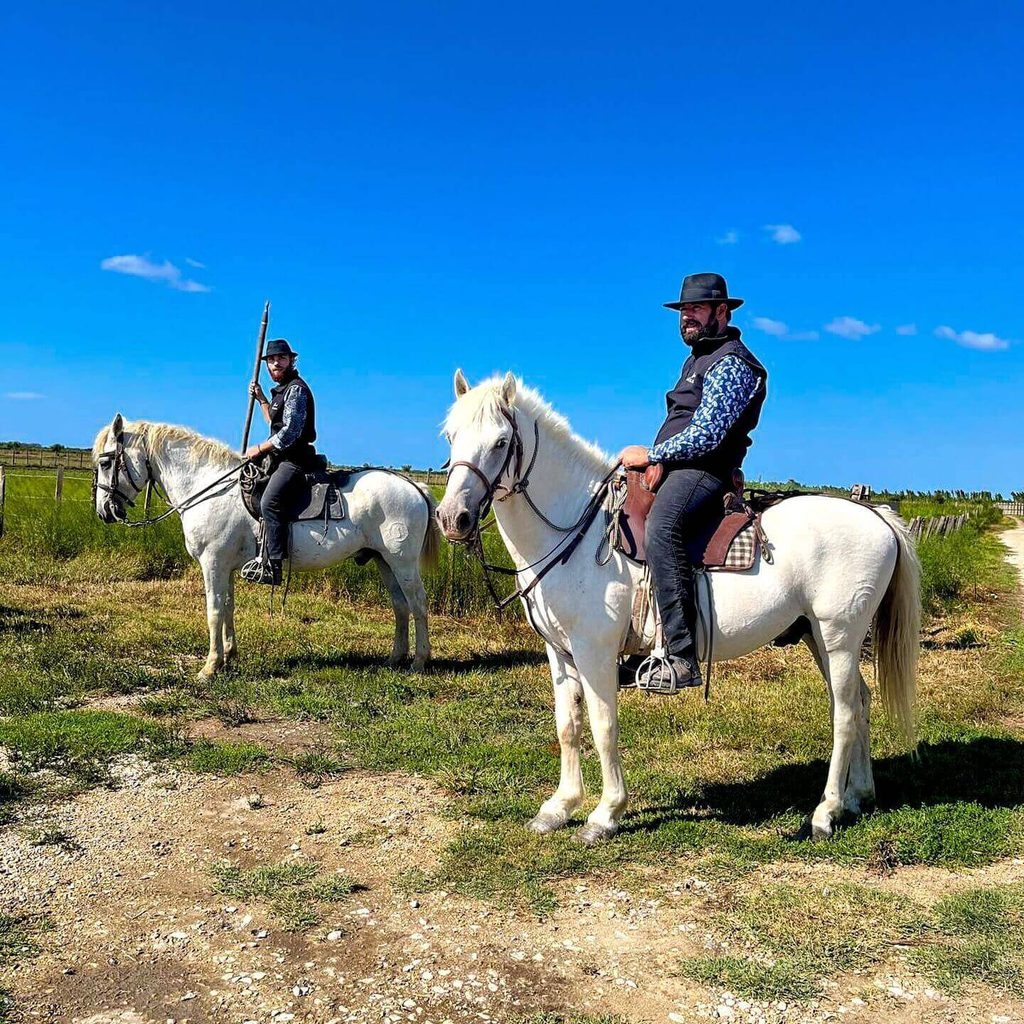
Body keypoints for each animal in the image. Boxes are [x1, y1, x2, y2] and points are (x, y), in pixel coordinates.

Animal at [92, 413, 441, 676]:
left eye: (107, 463)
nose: (104, 511)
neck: (208, 487)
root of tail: (414, 486)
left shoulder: (212, 563)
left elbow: (214, 610)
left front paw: (209, 667)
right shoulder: (225, 566)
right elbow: (228, 607)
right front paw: (228, 655)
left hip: (403, 563)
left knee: (418, 604)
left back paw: (419, 662)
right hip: (384, 562)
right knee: (400, 606)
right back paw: (395, 659)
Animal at [436, 371, 920, 843]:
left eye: (501, 441)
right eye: (450, 436)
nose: (453, 518)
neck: (579, 528)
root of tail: (877, 517)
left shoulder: (595, 651)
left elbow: (603, 725)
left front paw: (605, 814)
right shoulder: (560, 652)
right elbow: (567, 726)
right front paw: (559, 807)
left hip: (839, 636)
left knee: (844, 714)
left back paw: (825, 813)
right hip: (817, 636)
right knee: (860, 702)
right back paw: (858, 797)